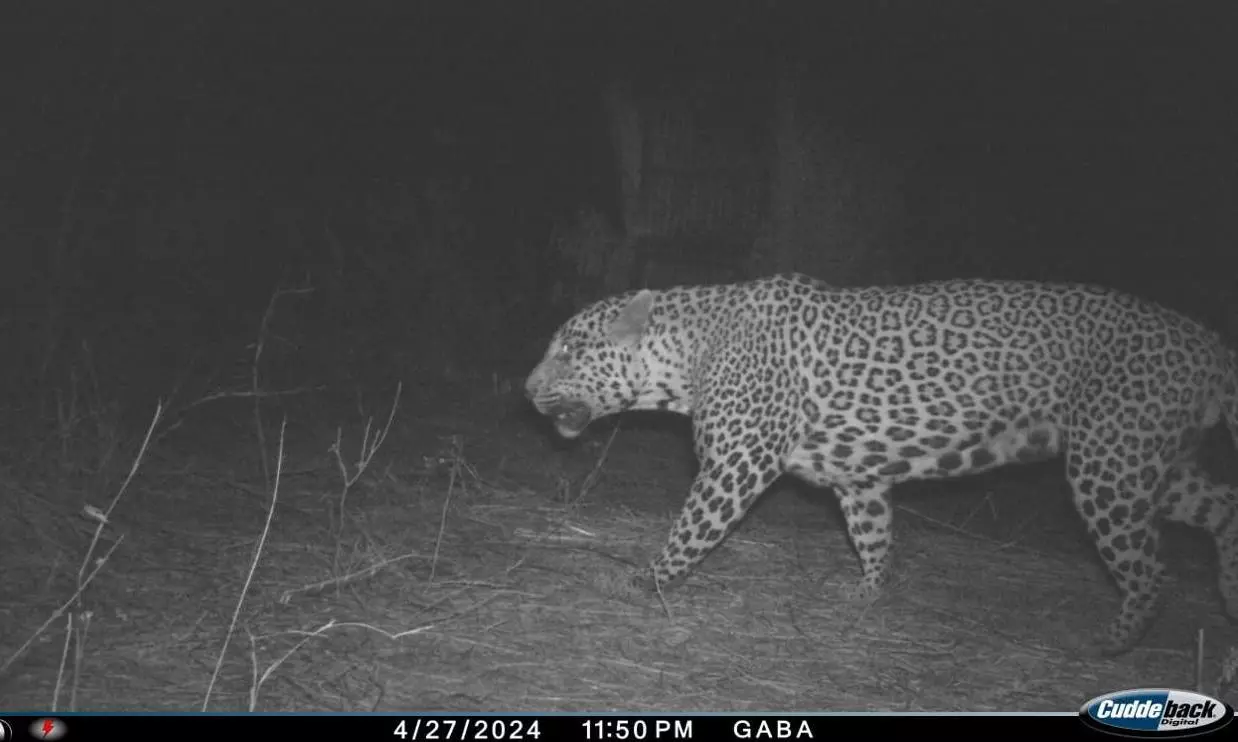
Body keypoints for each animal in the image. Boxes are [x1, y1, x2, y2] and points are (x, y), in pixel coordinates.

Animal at [522, 272, 1238, 654]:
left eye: (569, 349)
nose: (526, 390)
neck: (686, 355)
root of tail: (1206, 342)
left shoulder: (735, 464)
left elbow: (688, 531)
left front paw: (642, 581)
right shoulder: (858, 477)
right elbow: (873, 535)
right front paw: (865, 594)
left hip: (1108, 466)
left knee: (1152, 571)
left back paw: (1114, 641)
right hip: (1151, 464)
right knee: (1224, 509)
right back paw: (1230, 604)